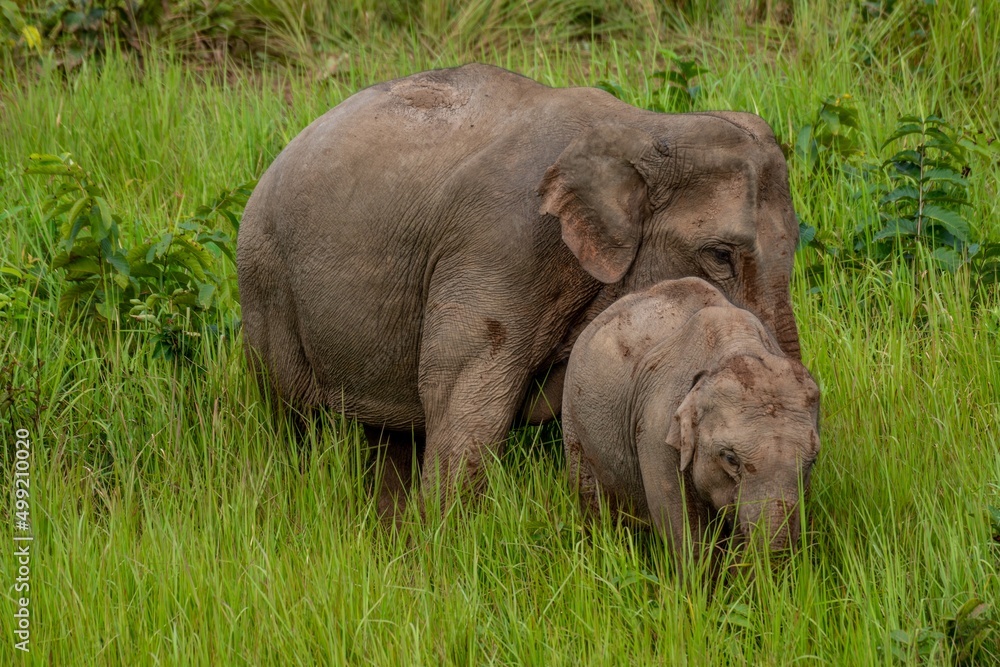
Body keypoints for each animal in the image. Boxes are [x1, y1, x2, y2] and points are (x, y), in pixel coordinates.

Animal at [237, 63, 804, 515]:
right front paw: (443, 538)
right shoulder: (500, 245)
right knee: (295, 412)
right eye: (720, 255)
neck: (646, 127)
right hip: (266, 275)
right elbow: (460, 390)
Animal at [561, 277, 820, 564]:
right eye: (730, 458)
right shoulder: (656, 425)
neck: (736, 348)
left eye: (812, 462)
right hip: (572, 415)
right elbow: (682, 525)